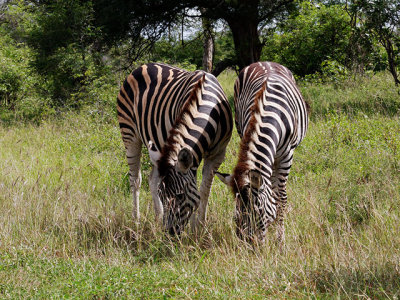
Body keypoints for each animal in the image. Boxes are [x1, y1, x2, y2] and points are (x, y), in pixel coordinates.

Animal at [117, 62, 233, 234]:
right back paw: (136, 220)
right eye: (163, 196)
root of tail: (142, 66)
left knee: (152, 179)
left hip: (157, 149)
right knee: (135, 179)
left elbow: (204, 190)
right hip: (130, 134)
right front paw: (195, 227)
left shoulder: (217, 155)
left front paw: (199, 227)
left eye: (180, 196)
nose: (169, 233)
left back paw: (158, 217)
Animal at [217, 62, 308, 243]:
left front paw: (280, 237)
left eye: (258, 211)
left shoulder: (287, 156)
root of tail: (265, 62)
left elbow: (282, 197)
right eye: (236, 213)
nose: (247, 243)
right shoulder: (247, 133)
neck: (271, 113)